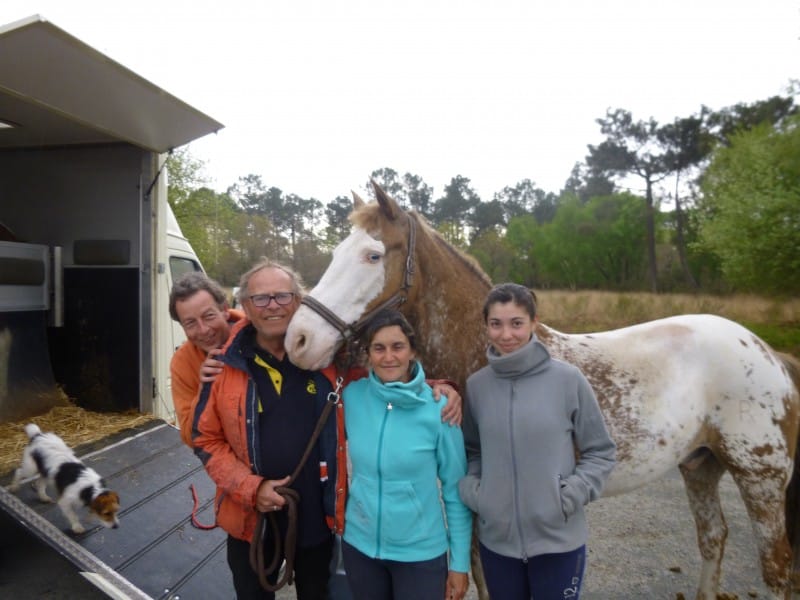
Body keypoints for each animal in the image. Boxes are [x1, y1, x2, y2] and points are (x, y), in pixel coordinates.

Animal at [286, 183, 800, 600]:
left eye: (373, 255)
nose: (299, 340)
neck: (491, 360)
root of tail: (767, 352)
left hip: (760, 478)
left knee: (776, 568)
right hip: (700, 467)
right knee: (714, 538)